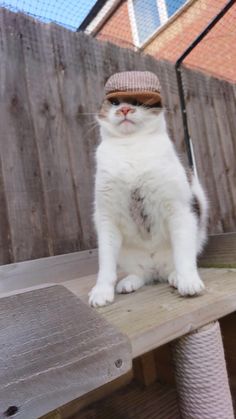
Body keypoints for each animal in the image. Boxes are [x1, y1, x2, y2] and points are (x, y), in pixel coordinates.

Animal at [89, 97, 208, 308]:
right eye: (115, 103)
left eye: (137, 102)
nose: (124, 109)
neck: (131, 146)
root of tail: (155, 269)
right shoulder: (107, 219)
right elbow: (105, 265)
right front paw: (101, 293)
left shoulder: (179, 211)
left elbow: (183, 256)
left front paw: (189, 283)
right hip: (128, 258)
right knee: (140, 274)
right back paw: (129, 283)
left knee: (177, 261)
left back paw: (176, 277)